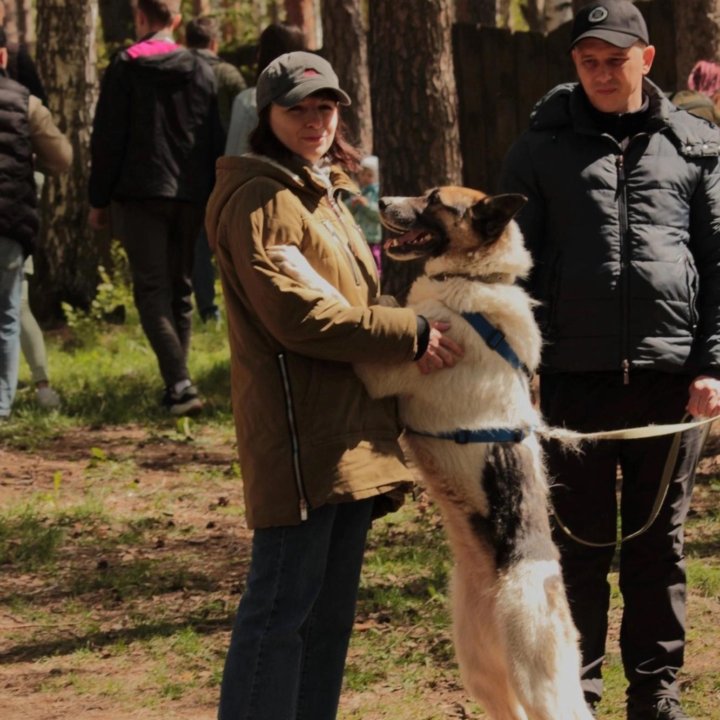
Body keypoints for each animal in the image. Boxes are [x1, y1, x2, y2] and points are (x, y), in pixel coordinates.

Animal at [268, 186, 592, 720]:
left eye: (435, 200)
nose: (380, 200)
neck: (472, 280)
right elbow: (383, 304)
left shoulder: (380, 373)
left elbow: (343, 300)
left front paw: (295, 262)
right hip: (482, 673)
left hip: (539, 682)